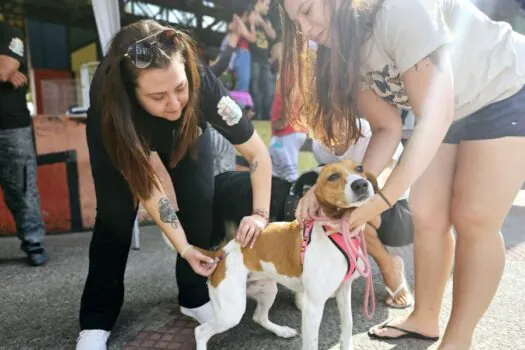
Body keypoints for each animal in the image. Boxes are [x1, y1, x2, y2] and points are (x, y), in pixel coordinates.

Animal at [194, 161, 378, 350]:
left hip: (267, 290)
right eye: (333, 176)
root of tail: (222, 252)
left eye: (359, 168)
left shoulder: (344, 290)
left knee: (258, 317)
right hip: (231, 312)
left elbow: (348, 326)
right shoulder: (313, 307)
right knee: (200, 331)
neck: (337, 233)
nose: (361, 184)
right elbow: (312, 343)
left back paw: (282, 331)